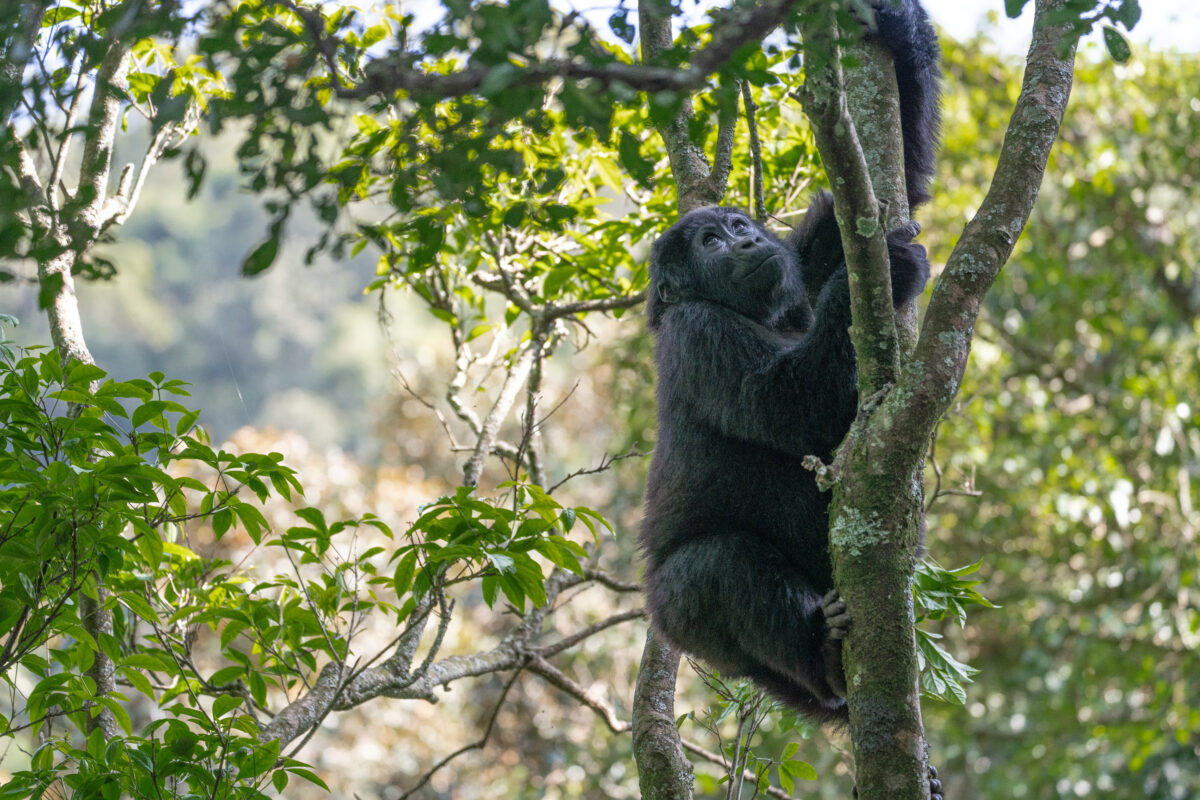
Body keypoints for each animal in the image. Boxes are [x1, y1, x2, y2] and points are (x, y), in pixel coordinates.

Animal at [643, 0, 940, 743]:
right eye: (711, 240)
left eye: (736, 223)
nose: (745, 238)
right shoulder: (696, 334)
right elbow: (782, 405)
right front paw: (894, 271)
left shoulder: (799, 266)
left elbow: (880, 197)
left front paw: (894, 26)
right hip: (682, 617)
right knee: (717, 566)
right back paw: (819, 654)